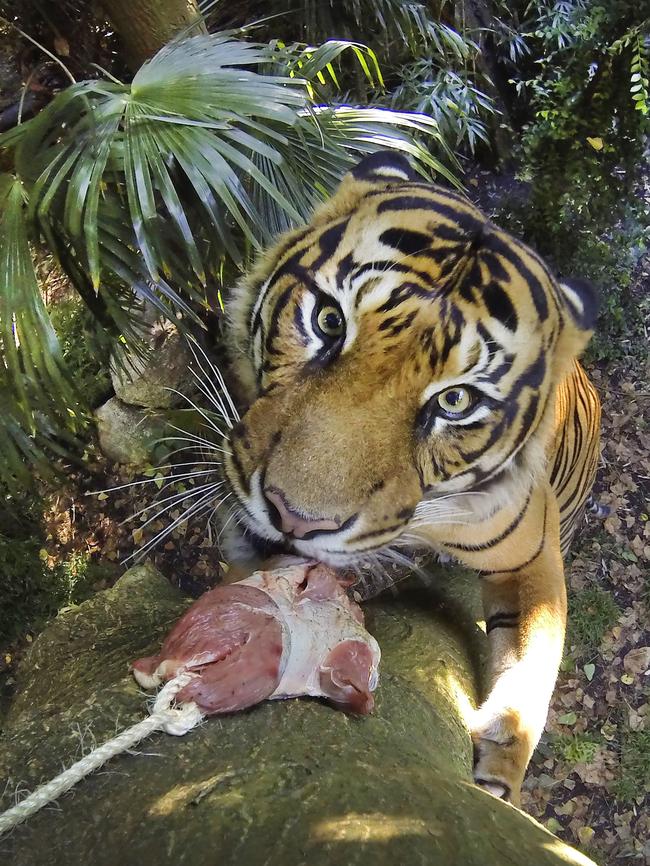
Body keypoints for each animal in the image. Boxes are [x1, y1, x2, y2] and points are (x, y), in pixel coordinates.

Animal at [220, 148, 600, 804]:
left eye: (455, 401)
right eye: (328, 321)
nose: (293, 518)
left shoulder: (530, 554)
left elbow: (531, 666)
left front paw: (498, 772)